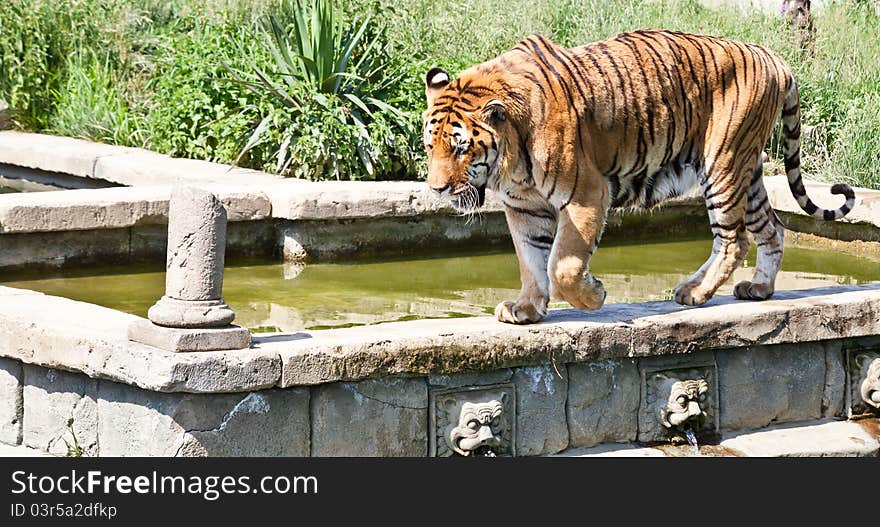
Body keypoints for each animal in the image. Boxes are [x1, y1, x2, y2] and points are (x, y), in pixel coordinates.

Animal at [422, 32, 856, 326]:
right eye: (430, 146)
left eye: (460, 148)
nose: (436, 189)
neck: (511, 162)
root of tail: (772, 55)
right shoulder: (523, 207)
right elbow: (531, 260)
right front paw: (525, 308)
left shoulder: (586, 194)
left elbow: (562, 265)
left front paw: (594, 296)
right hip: (747, 174)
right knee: (772, 229)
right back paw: (757, 289)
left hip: (723, 164)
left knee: (734, 240)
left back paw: (695, 292)